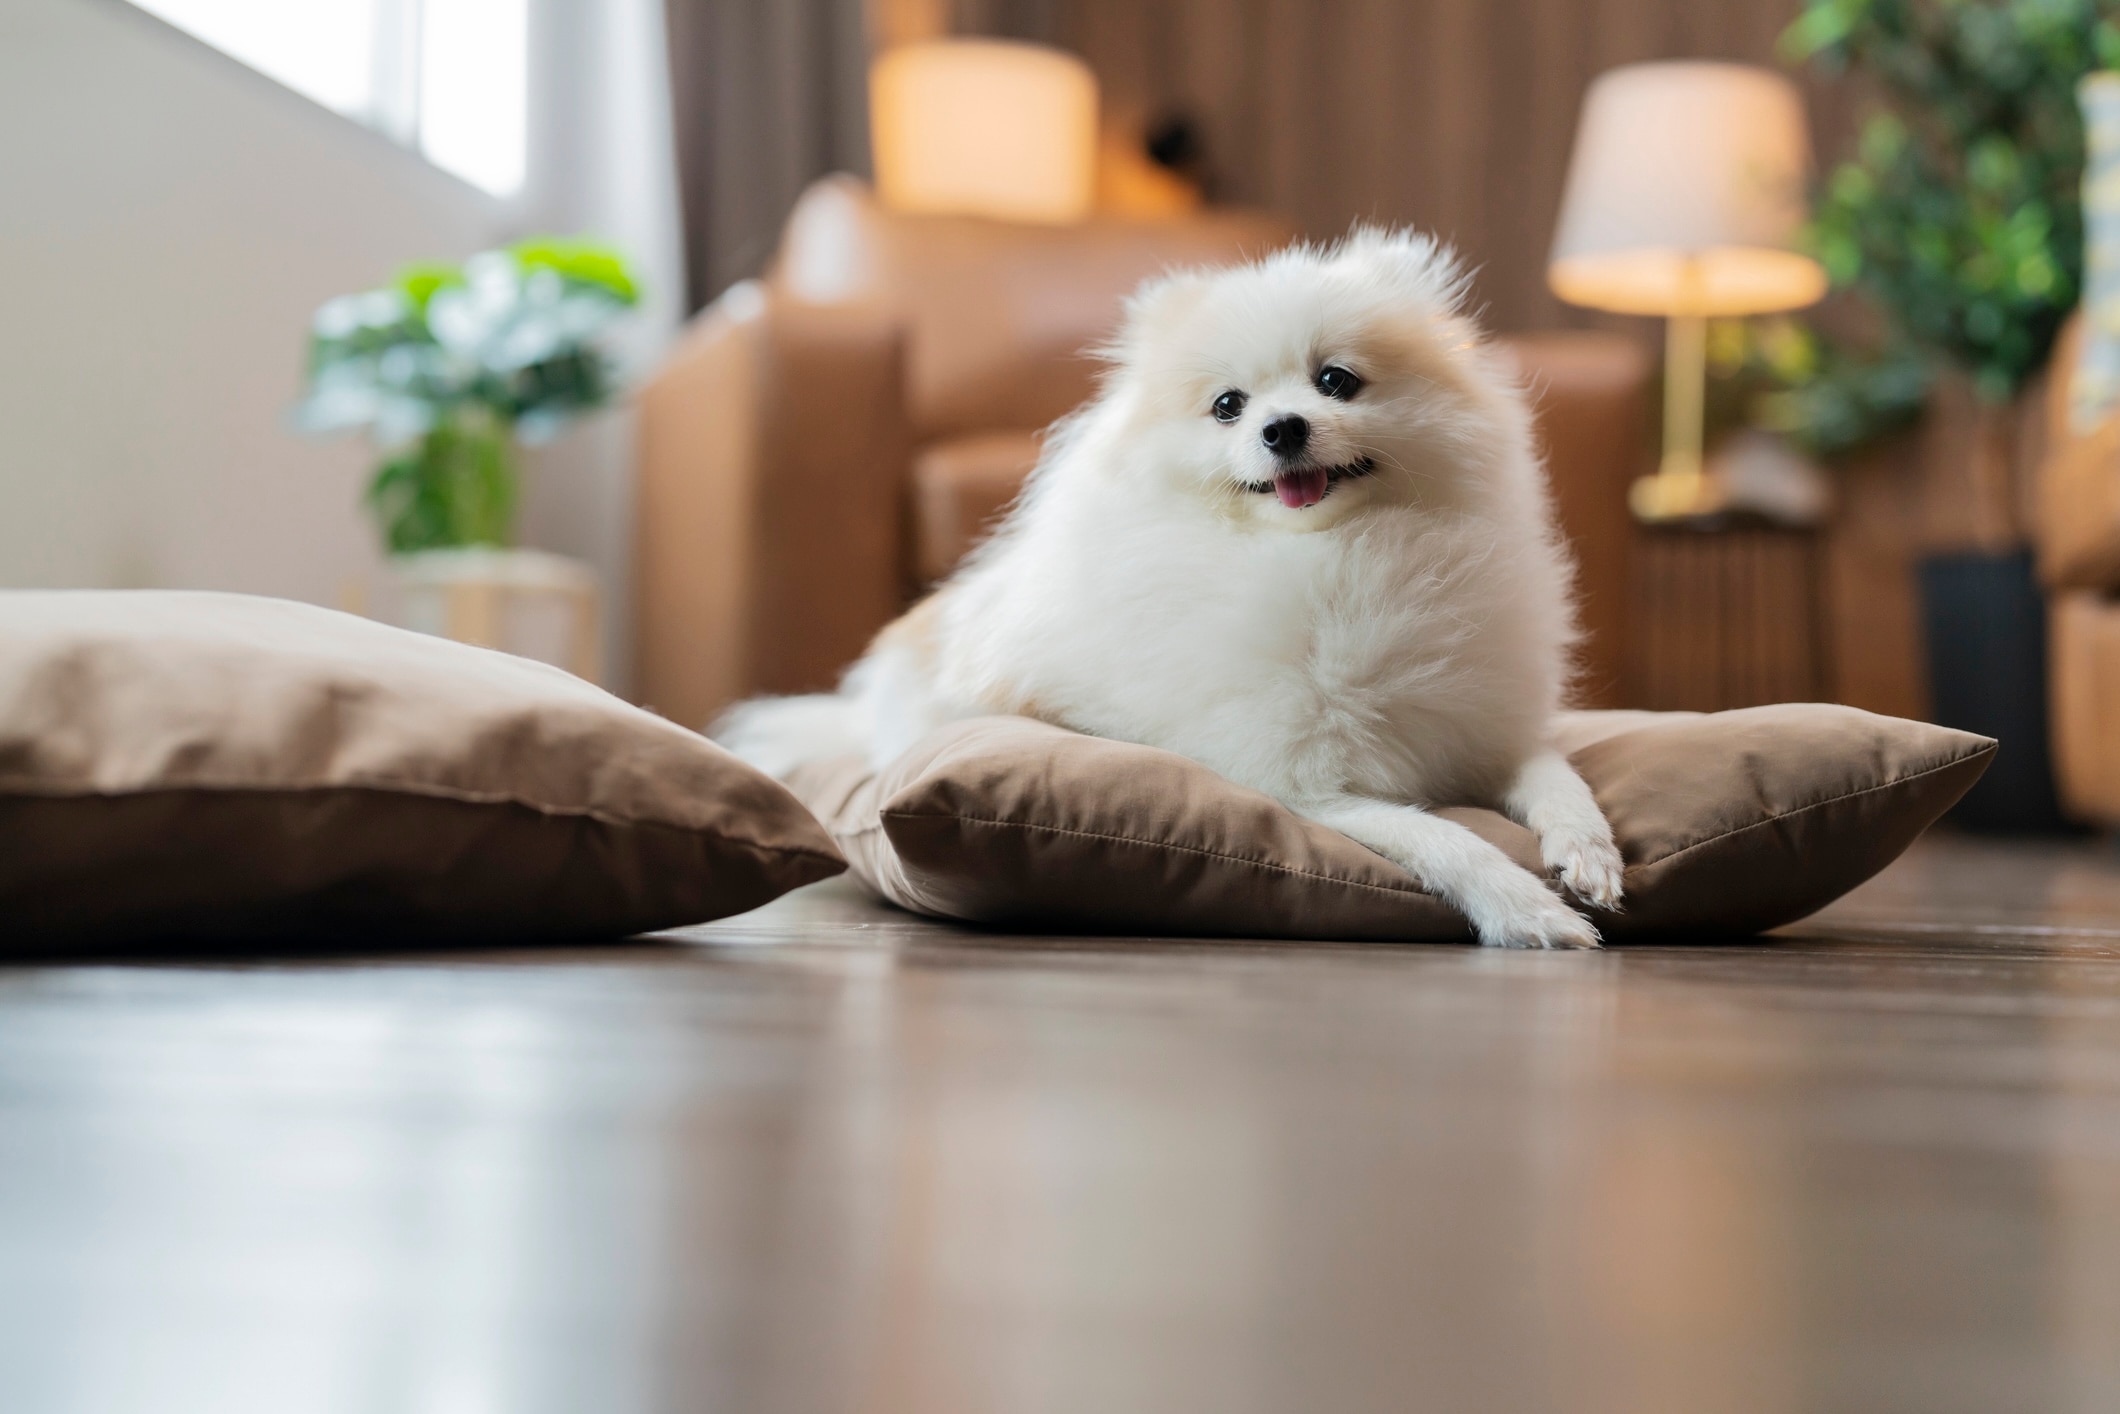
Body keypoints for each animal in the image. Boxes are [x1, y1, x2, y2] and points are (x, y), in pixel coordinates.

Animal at [725, 226, 1619, 945]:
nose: (1281, 427)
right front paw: (1529, 910)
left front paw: (1590, 853)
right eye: (1228, 405)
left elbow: (1554, 773)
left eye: (1336, 381)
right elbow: (1447, 838)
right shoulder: (1299, 786)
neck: (1338, 558)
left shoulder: (1479, 729)